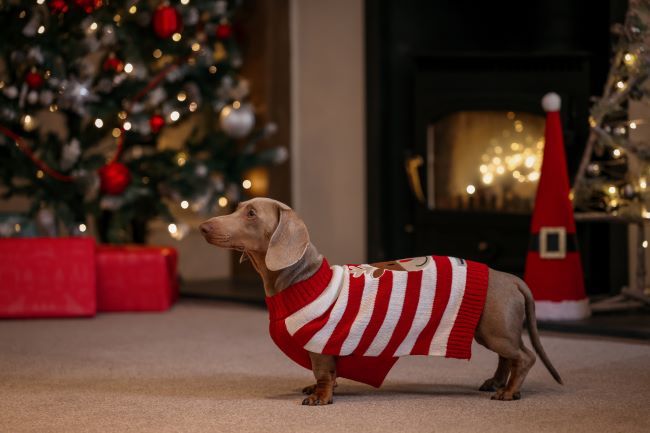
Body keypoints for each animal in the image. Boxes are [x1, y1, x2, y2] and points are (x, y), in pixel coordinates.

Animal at [200, 197, 560, 404]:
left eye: (250, 213)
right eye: (236, 207)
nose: (203, 227)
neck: (303, 278)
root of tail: (508, 276)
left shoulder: (321, 344)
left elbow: (323, 373)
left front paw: (320, 397)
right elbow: (329, 373)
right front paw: (316, 389)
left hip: (495, 330)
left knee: (524, 357)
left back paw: (509, 391)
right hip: (490, 330)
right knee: (507, 359)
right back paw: (496, 382)